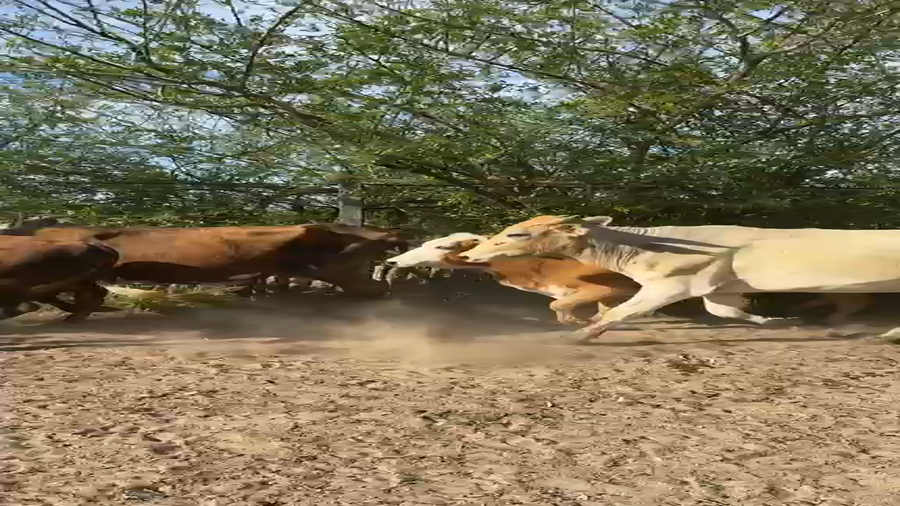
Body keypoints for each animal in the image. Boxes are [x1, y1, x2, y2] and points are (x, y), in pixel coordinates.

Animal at [458, 215, 895, 342]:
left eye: (518, 234)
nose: (470, 252)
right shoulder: (717, 289)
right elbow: (726, 313)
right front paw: (777, 321)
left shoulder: (671, 286)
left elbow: (618, 314)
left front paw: (580, 335)